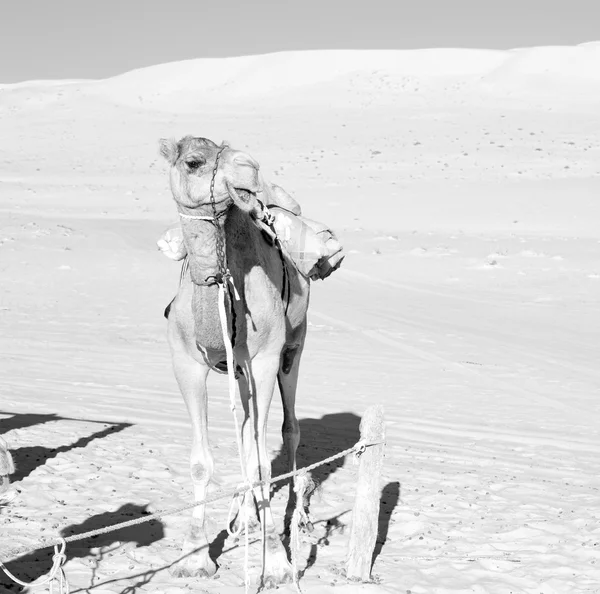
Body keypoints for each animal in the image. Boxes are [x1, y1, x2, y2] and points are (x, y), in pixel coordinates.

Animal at [157, 135, 312, 584]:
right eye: (193, 162)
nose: (251, 167)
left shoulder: (263, 360)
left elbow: (261, 462)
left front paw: (276, 562)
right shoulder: (185, 362)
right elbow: (201, 462)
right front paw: (194, 556)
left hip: (293, 348)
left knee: (288, 428)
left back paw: (287, 517)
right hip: (238, 370)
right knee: (246, 430)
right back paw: (245, 518)